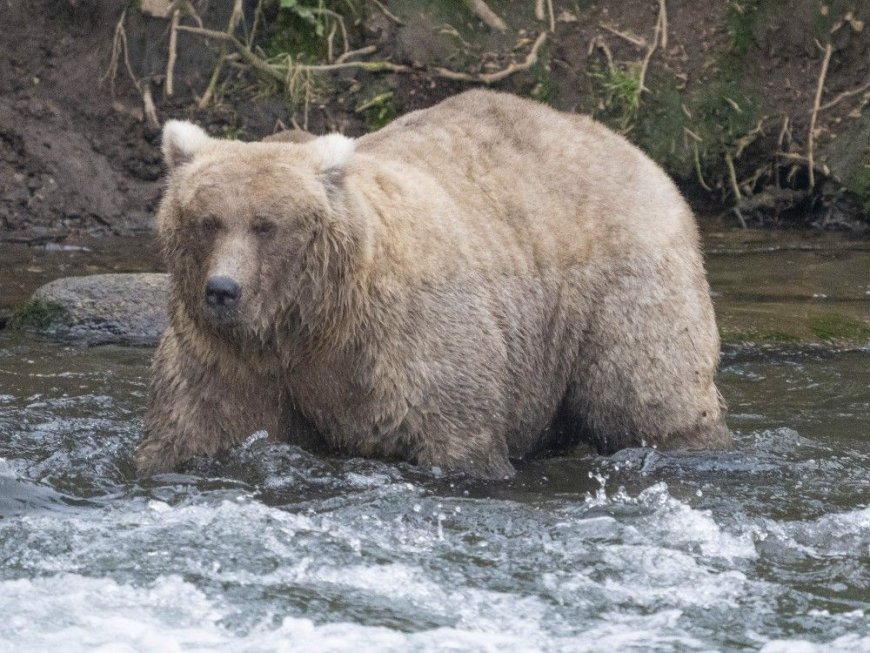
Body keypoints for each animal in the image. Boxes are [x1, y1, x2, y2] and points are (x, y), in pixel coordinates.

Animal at [138, 89, 728, 476]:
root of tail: (634, 150)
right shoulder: (229, 359)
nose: (222, 290)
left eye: (266, 224)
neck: (311, 321)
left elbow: (454, 433)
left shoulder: (406, 340)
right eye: (207, 220)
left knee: (646, 392)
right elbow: (195, 427)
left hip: (621, 286)